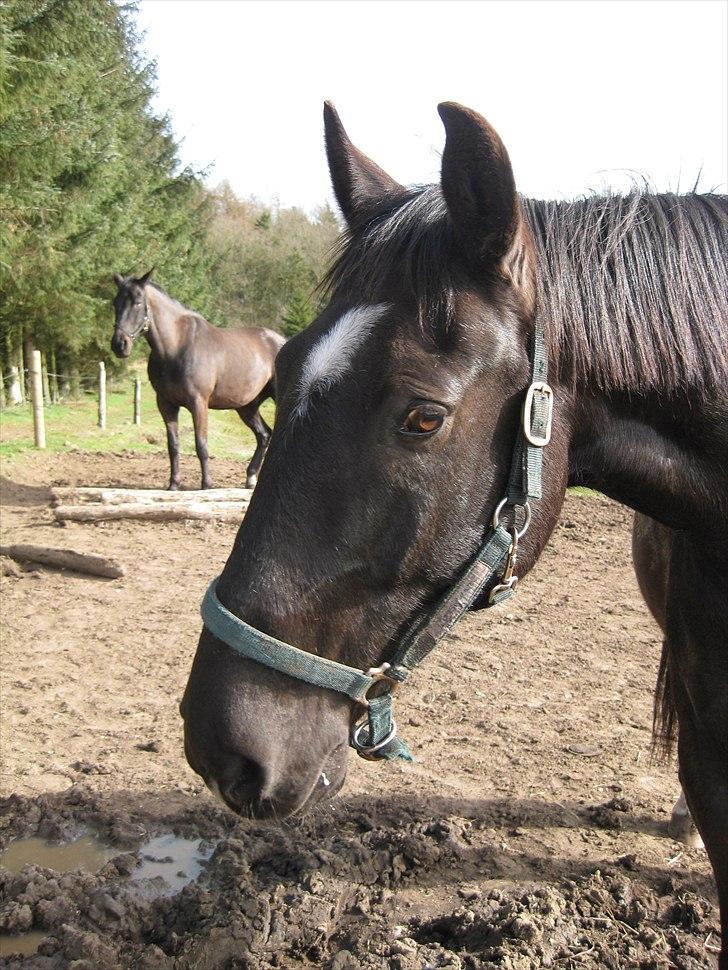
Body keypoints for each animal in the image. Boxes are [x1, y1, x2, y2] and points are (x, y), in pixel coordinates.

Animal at [112, 270, 286, 488]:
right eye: (115, 303)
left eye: (137, 302)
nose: (119, 345)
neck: (176, 347)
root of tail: (282, 341)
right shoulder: (166, 404)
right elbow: (173, 445)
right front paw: (174, 484)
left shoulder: (199, 403)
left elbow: (201, 444)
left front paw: (207, 484)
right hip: (247, 406)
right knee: (264, 435)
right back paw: (251, 478)